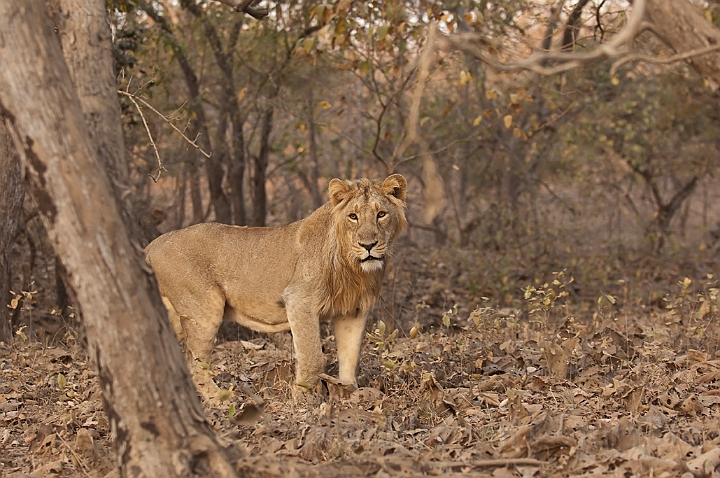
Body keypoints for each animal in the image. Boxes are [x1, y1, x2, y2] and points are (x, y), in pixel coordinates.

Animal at [143, 175, 408, 396]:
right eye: (353, 216)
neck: (354, 269)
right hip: (204, 309)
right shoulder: (299, 299)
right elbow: (313, 358)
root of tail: (152, 244)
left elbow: (350, 359)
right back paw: (222, 401)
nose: (368, 245)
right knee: (194, 365)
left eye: (381, 214)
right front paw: (303, 401)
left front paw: (349, 396)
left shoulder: (353, 310)